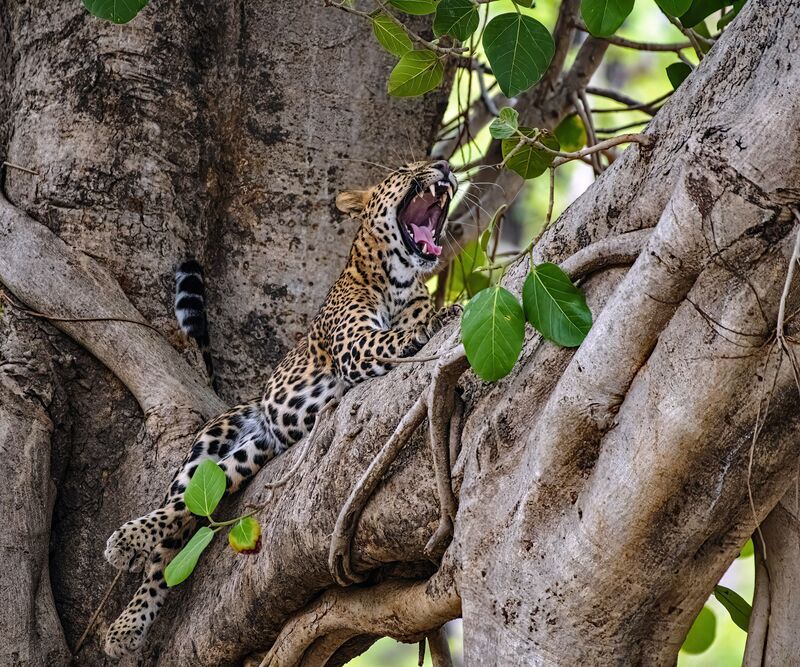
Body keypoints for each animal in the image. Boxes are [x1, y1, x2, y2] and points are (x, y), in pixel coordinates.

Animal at [103, 159, 459, 658]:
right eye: (408, 168)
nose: (444, 165)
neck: (399, 280)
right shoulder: (355, 346)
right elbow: (395, 336)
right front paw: (439, 317)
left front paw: (442, 312)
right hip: (207, 446)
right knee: (168, 533)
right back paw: (126, 585)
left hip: (254, 453)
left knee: (195, 509)